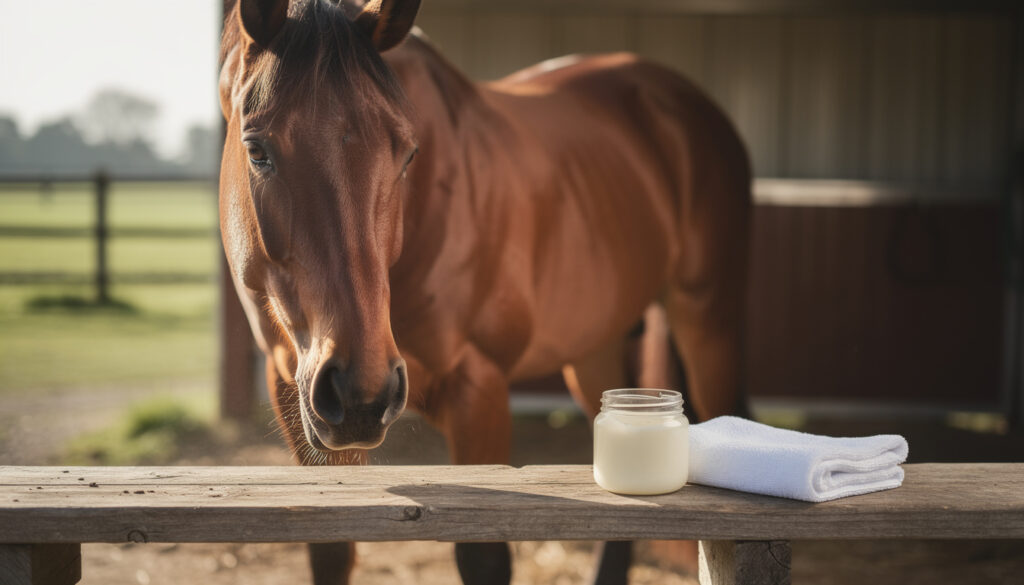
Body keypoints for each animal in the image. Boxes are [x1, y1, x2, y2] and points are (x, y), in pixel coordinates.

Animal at [218, 0, 751, 583]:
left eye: (408, 154)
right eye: (256, 150)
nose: (362, 391)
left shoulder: (480, 389)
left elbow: (483, 553)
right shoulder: (292, 388)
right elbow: (332, 549)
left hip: (709, 327)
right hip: (595, 352)